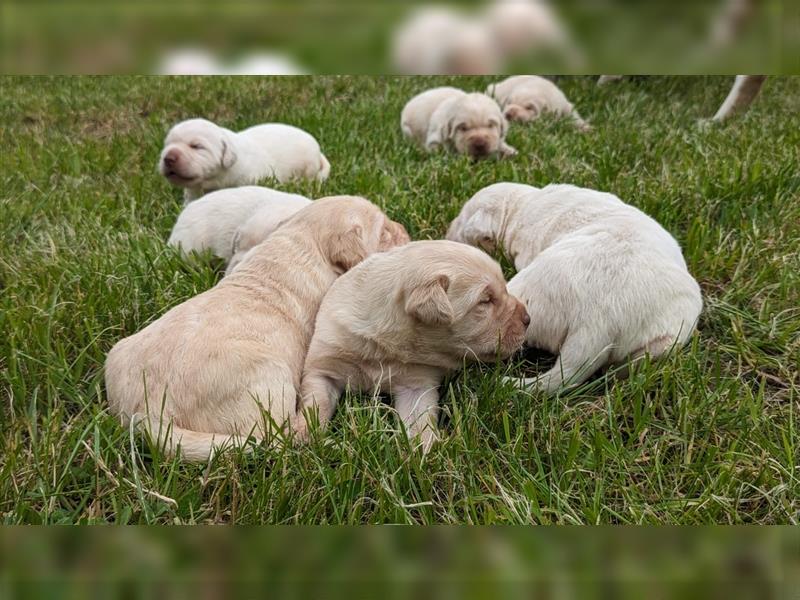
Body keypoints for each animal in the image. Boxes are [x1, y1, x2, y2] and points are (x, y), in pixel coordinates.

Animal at [104, 195, 410, 462]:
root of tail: (148, 413)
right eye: (384, 232)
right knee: (278, 437)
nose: (405, 230)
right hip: (271, 381)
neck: (302, 242)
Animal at [159, 117, 332, 202]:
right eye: (167, 145)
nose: (168, 158)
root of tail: (318, 152)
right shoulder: (193, 193)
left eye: (196, 146)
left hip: (307, 167)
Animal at [296, 239, 528, 450]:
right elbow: (316, 402)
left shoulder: (417, 381)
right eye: (485, 301)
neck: (382, 347)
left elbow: (419, 419)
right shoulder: (324, 365)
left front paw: (424, 451)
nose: (528, 319)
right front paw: (304, 434)